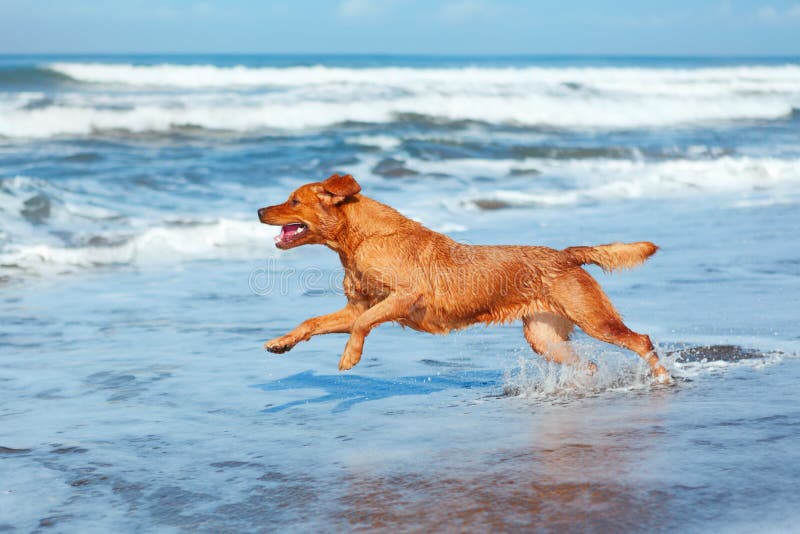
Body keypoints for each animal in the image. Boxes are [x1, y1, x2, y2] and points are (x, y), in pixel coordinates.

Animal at [260, 174, 672, 384]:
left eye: (294, 201)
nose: (260, 209)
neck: (360, 240)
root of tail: (566, 254)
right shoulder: (356, 306)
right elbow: (312, 321)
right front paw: (282, 342)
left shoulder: (403, 297)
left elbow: (363, 325)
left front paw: (350, 356)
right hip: (543, 337)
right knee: (588, 364)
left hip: (594, 319)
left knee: (641, 340)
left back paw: (663, 377)